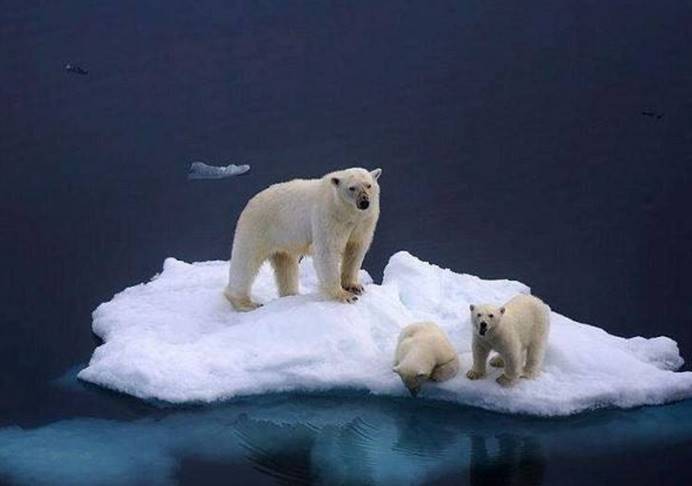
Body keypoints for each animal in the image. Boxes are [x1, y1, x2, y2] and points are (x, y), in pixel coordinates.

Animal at [225, 167, 382, 311]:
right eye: (352, 188)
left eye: (368, 185)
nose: (364, 202)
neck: (347, 213)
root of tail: (250, 202)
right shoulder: (328, 217)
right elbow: (327, 251)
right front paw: (344, 296)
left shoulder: (364, 222)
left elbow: (355, 250)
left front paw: (355, 287)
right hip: (258, 228)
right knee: (246, 261)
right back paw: (245, 303)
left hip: (283, 239)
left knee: (286, 266)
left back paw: (291, 294)